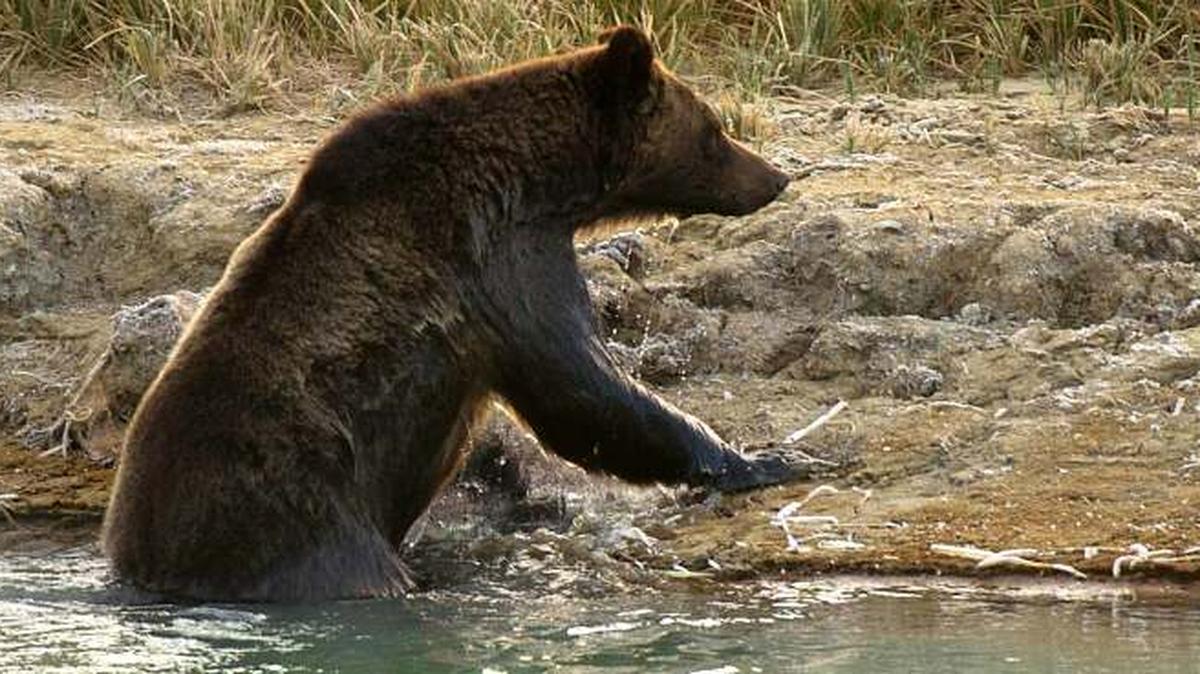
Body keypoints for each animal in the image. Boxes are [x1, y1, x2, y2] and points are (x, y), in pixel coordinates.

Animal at [101, 26, 799, 602]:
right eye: (713, 128)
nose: (777, 176)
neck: (535, 180)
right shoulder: (500, 259)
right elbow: (582, 390)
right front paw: (760, 459)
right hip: (298, 519)